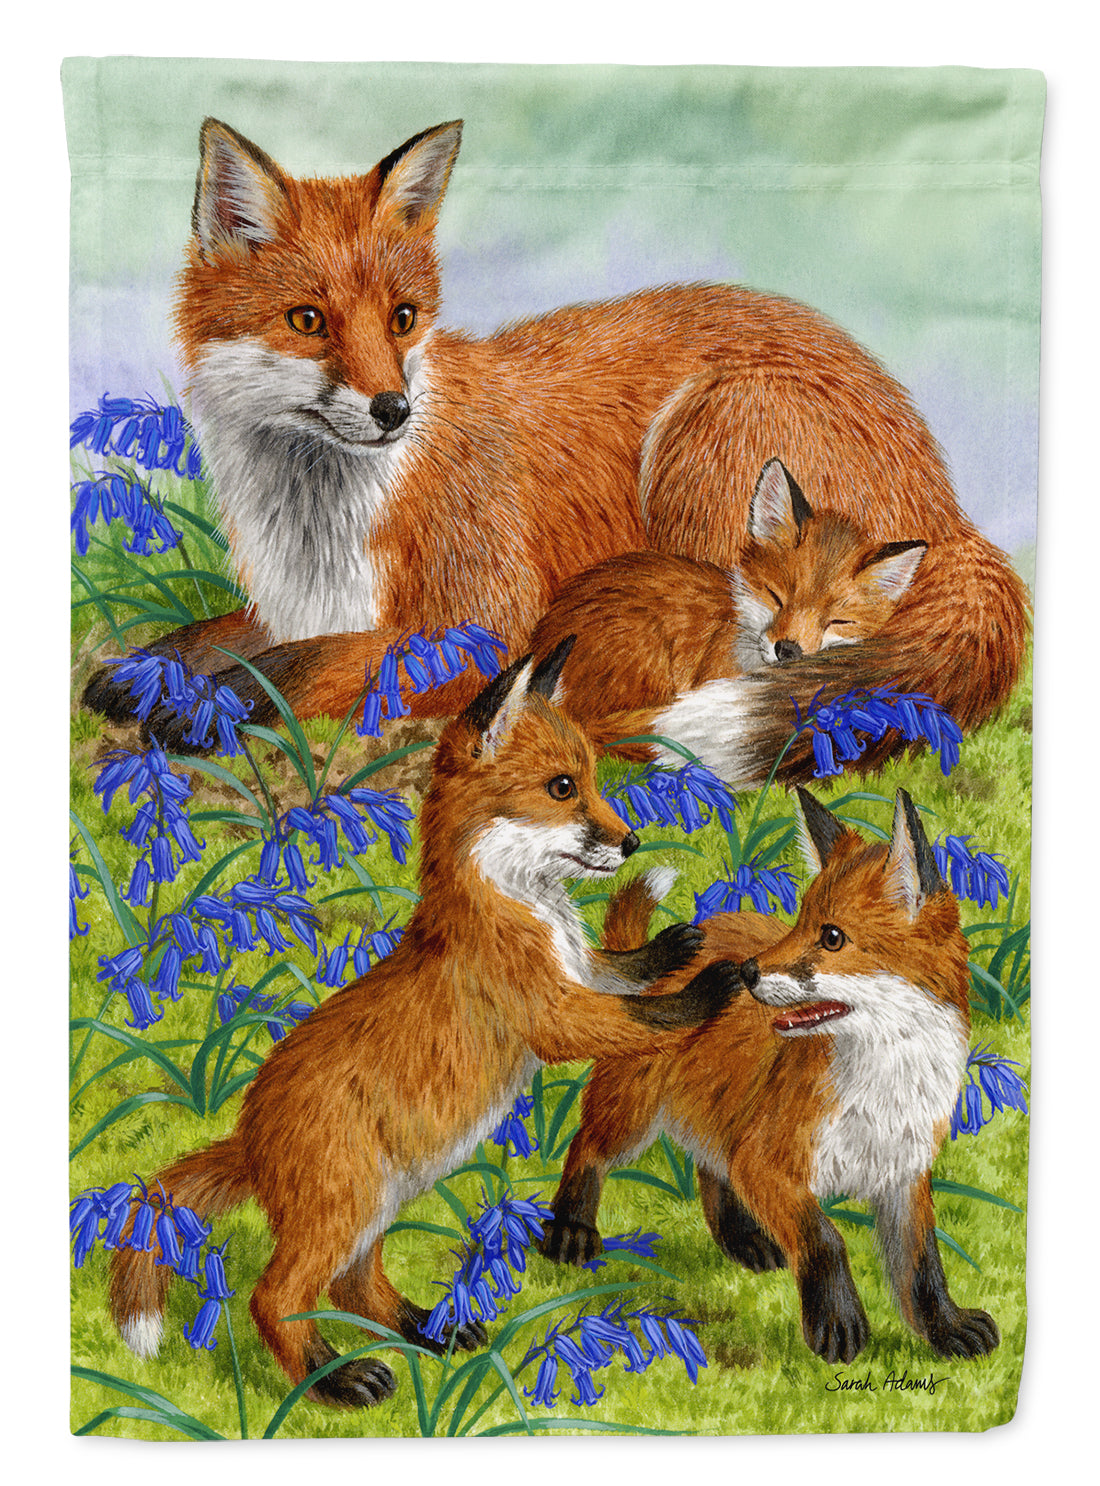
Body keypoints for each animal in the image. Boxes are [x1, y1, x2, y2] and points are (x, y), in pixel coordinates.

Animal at [105, 637, 745, 1408]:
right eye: (563, 788)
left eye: (591, 780)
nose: (631, 841)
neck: (518, 907)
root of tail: (250, 1134)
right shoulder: (548, 1011)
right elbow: (640, 1014)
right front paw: (711, 988)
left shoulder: (578, 971)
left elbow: (622, 971)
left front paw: (674, 948)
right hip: (343, 1204)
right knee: (275, 1297)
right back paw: (337, 1379)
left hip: (375, 1206)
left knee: (354, 1286)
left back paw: (428, 1332)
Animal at [541, 788, 1001, 1365]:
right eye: (798, 922)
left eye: (832, 937)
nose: (748, 972)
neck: (884, 1089)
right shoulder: (767, 1162)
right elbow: (826, 1238)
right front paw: (838, 1323)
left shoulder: (904, 1173)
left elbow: (922, 1267)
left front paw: (946, 1329)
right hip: (631, 1115)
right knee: (588, 1150)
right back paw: (571, 1230)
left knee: (710, 1170)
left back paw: (744, 1241)